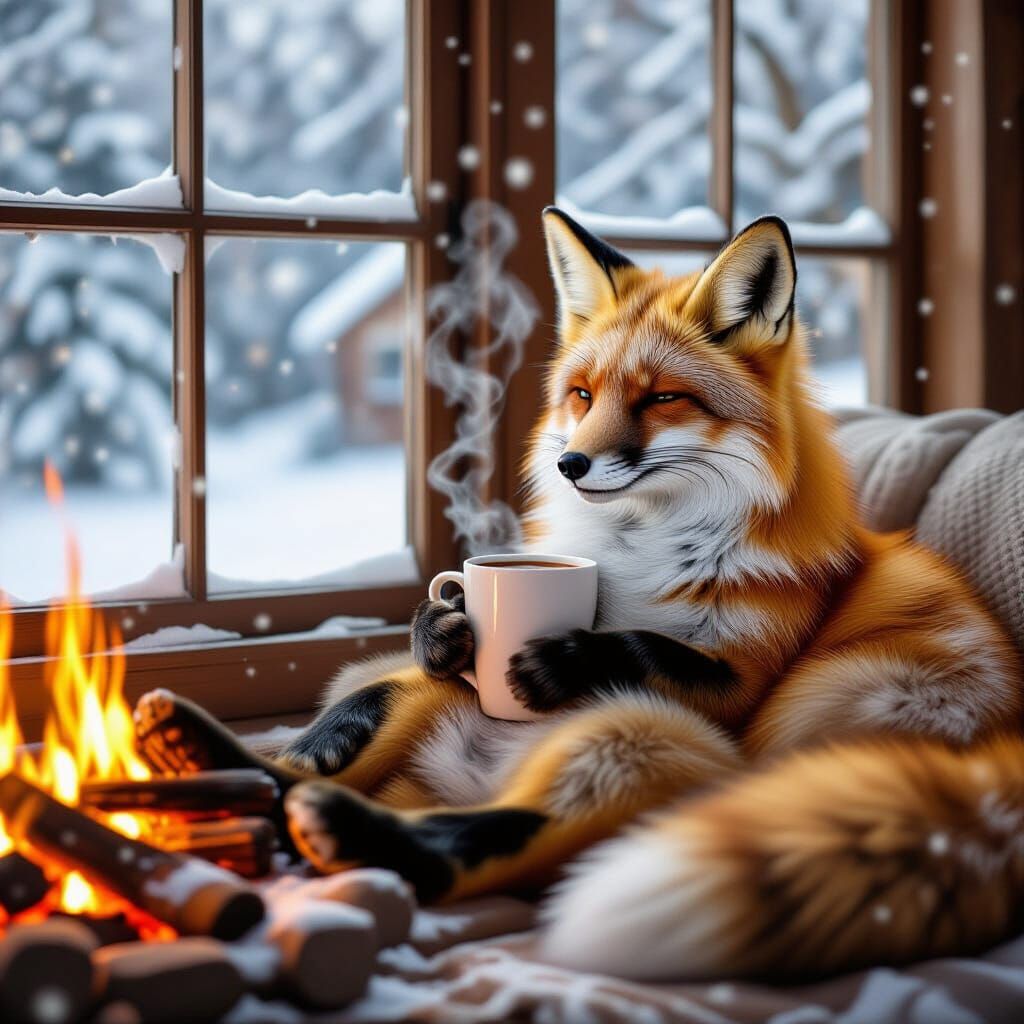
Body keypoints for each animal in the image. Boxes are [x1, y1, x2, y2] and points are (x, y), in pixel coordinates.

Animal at [135, 208, 1024, 981]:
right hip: (454, 710)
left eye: (663, 397)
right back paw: (219, 758)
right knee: (332, 744)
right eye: (584, 396)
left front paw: (565, 658)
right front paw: (443, 626)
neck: (642, 552)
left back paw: (352, 829)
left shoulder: (743, 681)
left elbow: (650, 646)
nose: (570, 465)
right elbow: (437, 632)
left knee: (468, 844)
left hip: (647, 741)